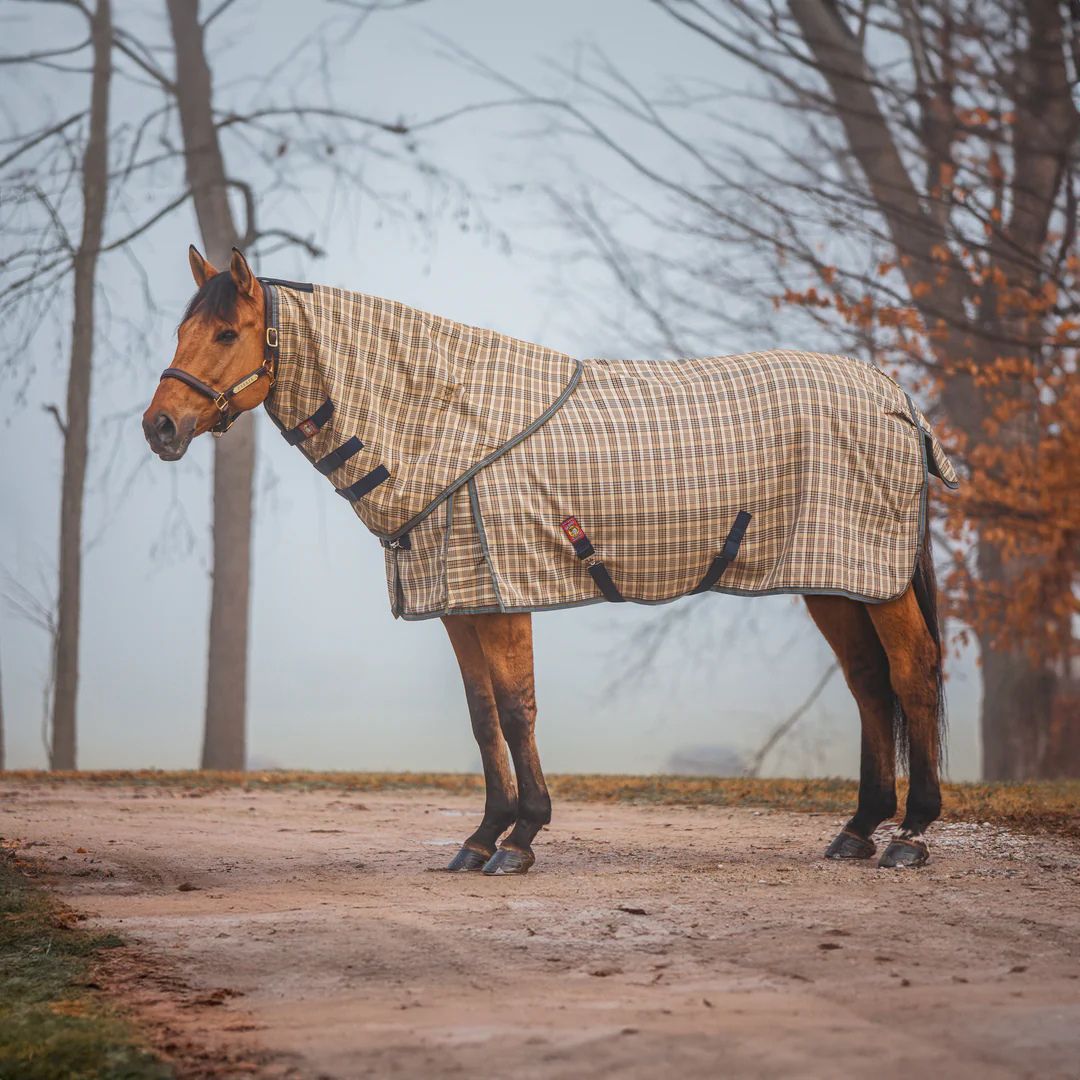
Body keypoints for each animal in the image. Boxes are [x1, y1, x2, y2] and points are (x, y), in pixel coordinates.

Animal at [145, 247, 954, 876]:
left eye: (227, 331)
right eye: (182, 329)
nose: (160, 427)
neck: (451, 427)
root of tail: (897, 400)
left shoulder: (503, 595)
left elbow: (516, 708)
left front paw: (522, 835)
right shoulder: (461, 601)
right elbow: (481, 716)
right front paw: (481, 836)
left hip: (874, 581)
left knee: (912, 672)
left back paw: (912, 834)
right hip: (837, 583)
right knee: (869, 682)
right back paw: (858, 829)